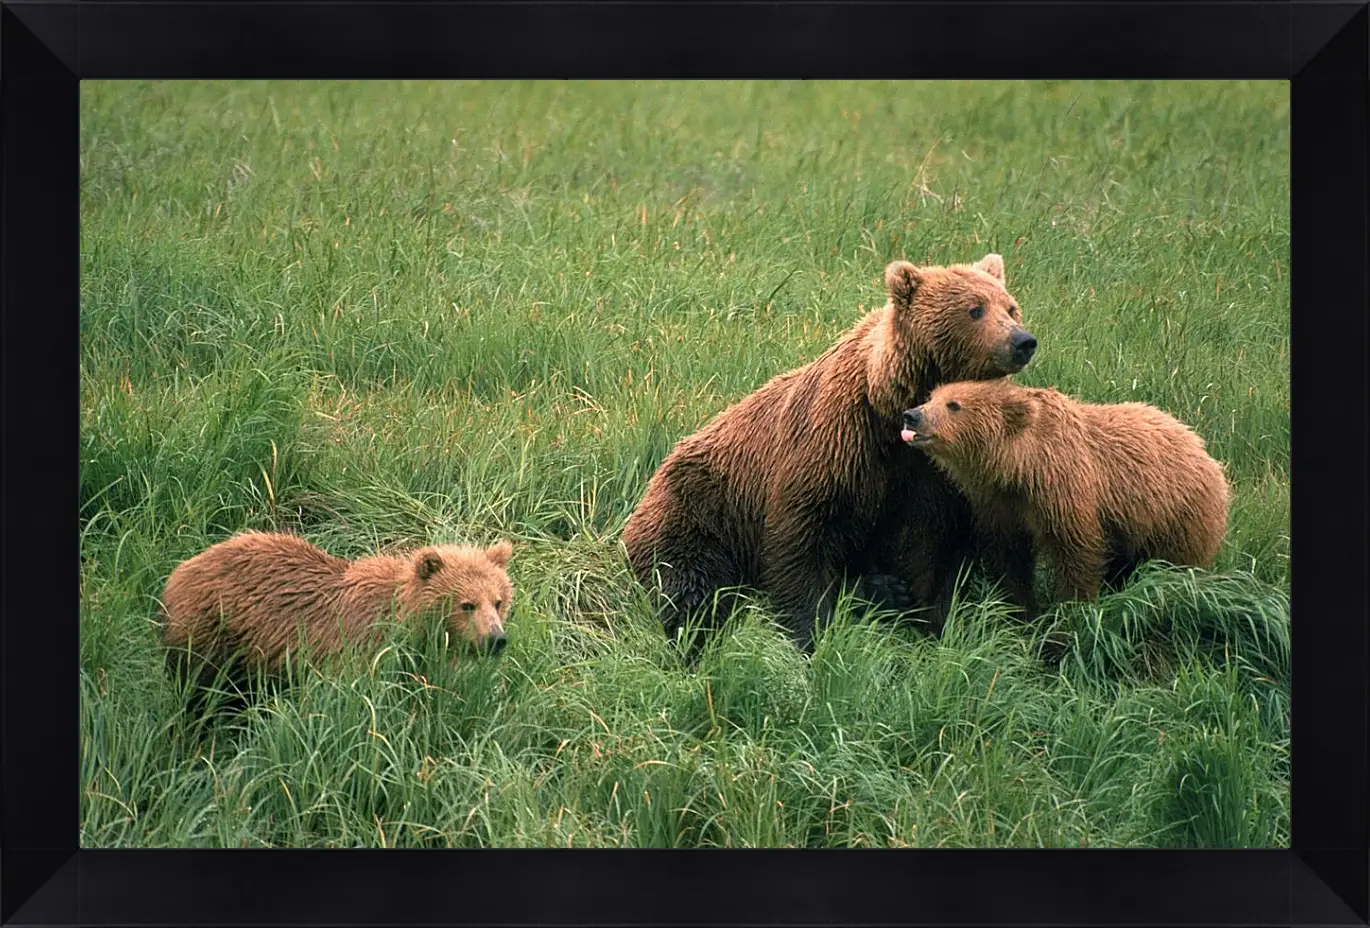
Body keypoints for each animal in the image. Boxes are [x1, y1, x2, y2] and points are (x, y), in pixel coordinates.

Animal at [624, 252, 1035, 644]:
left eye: (1011, 307)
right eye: (975, 309)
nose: (1022, 341)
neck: (894, 409)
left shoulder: (938, 470)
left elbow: (934, 545)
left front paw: (932, 619)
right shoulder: (838, 440)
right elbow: (803, 535)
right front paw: (807, 632)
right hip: (702, 510)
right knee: (686, 577)